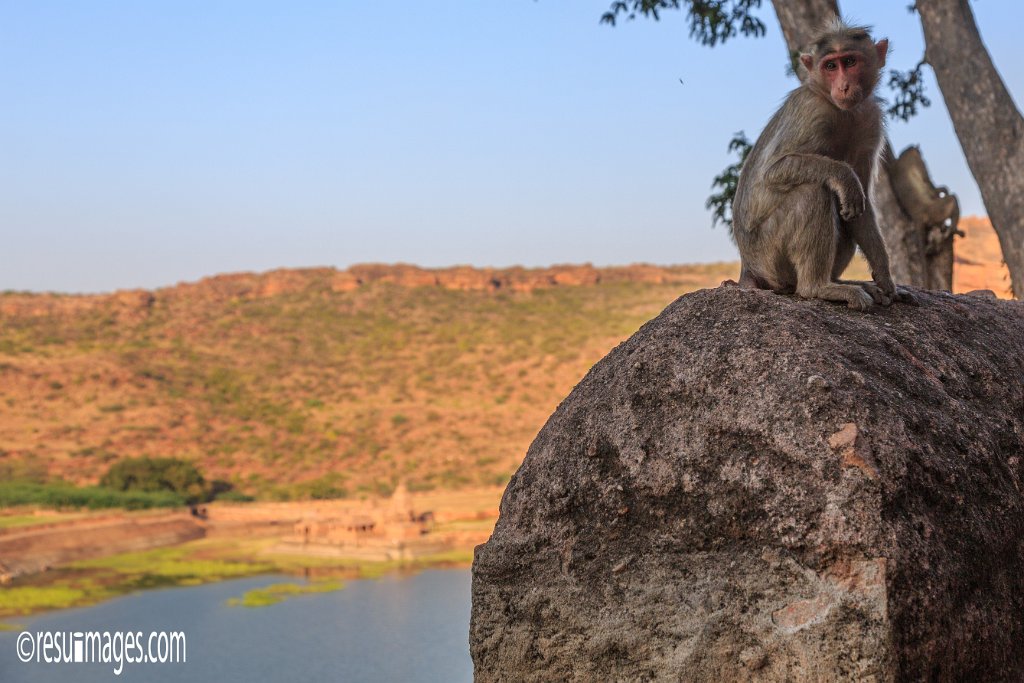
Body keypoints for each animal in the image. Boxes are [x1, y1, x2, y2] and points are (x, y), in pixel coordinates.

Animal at [733, 16, 917, 309]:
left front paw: (887, 281)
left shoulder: (870, 120)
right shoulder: (812, 111)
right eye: (830, 66)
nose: (843, 86)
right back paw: (819, 287)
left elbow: (862, 205)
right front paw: (843, 175)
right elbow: (771, 171)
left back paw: (844, 282)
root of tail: (748, 267)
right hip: (769, 256)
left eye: (849, 62)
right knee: (814, 192)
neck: (838, 107)